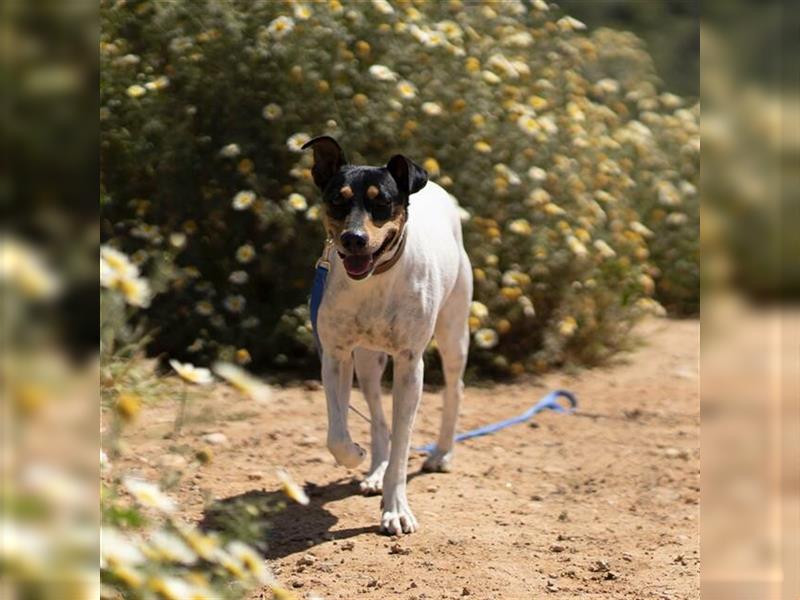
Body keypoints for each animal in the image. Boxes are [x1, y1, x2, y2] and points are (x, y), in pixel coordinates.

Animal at [304, 138, 472, 536]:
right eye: (337, 200)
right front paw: (357, 455)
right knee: (379, 418)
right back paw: (375, 471)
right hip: (369, 361)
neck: (375, 281)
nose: (354, 238)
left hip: (454, 333)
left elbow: (403, 441)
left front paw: (395, 509)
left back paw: (442, 453)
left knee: (455, 389)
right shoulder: (335, 355)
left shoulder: (410, 364)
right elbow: (338, 433)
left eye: (382, 202)